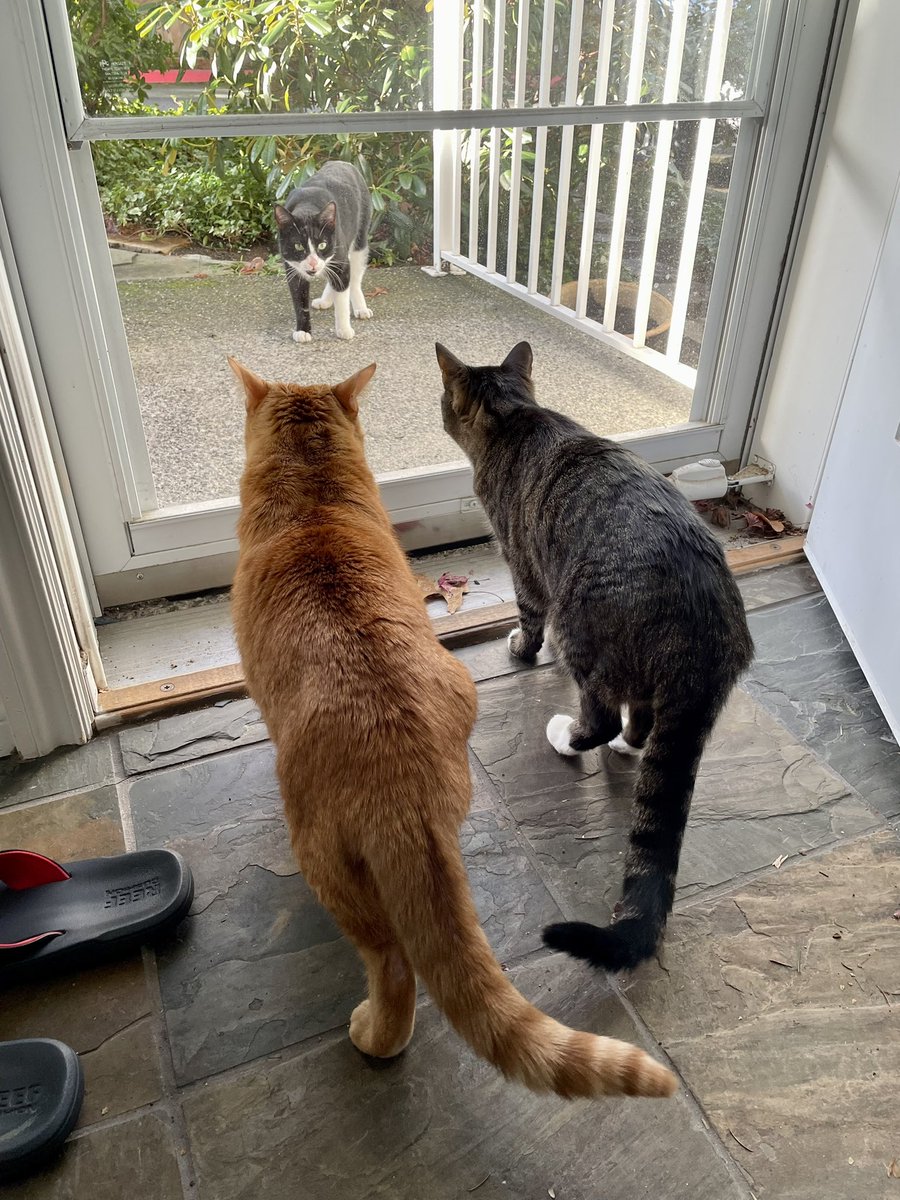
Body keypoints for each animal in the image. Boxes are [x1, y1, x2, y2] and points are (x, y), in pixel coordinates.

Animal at [274, 160, 373, 344]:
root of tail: (343, 162)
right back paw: (325, 300)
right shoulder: (292, 268)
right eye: (298, 246)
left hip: (360, 234)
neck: (306, 207)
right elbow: (299, 300)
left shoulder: (339, 256)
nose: (313, 262)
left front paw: (344, 329)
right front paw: (303, 330)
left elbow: (342, 293)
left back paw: (360, 308)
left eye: (322, 245)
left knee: (354, 276)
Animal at [435, 340, 754, 973]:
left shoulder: (525, 567)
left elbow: (527, 619)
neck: (517, 417)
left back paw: (568, 735)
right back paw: (627, 746)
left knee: (602, 714)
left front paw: (522, 648)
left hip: (579, 621)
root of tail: (703, 627)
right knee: (640, 721)